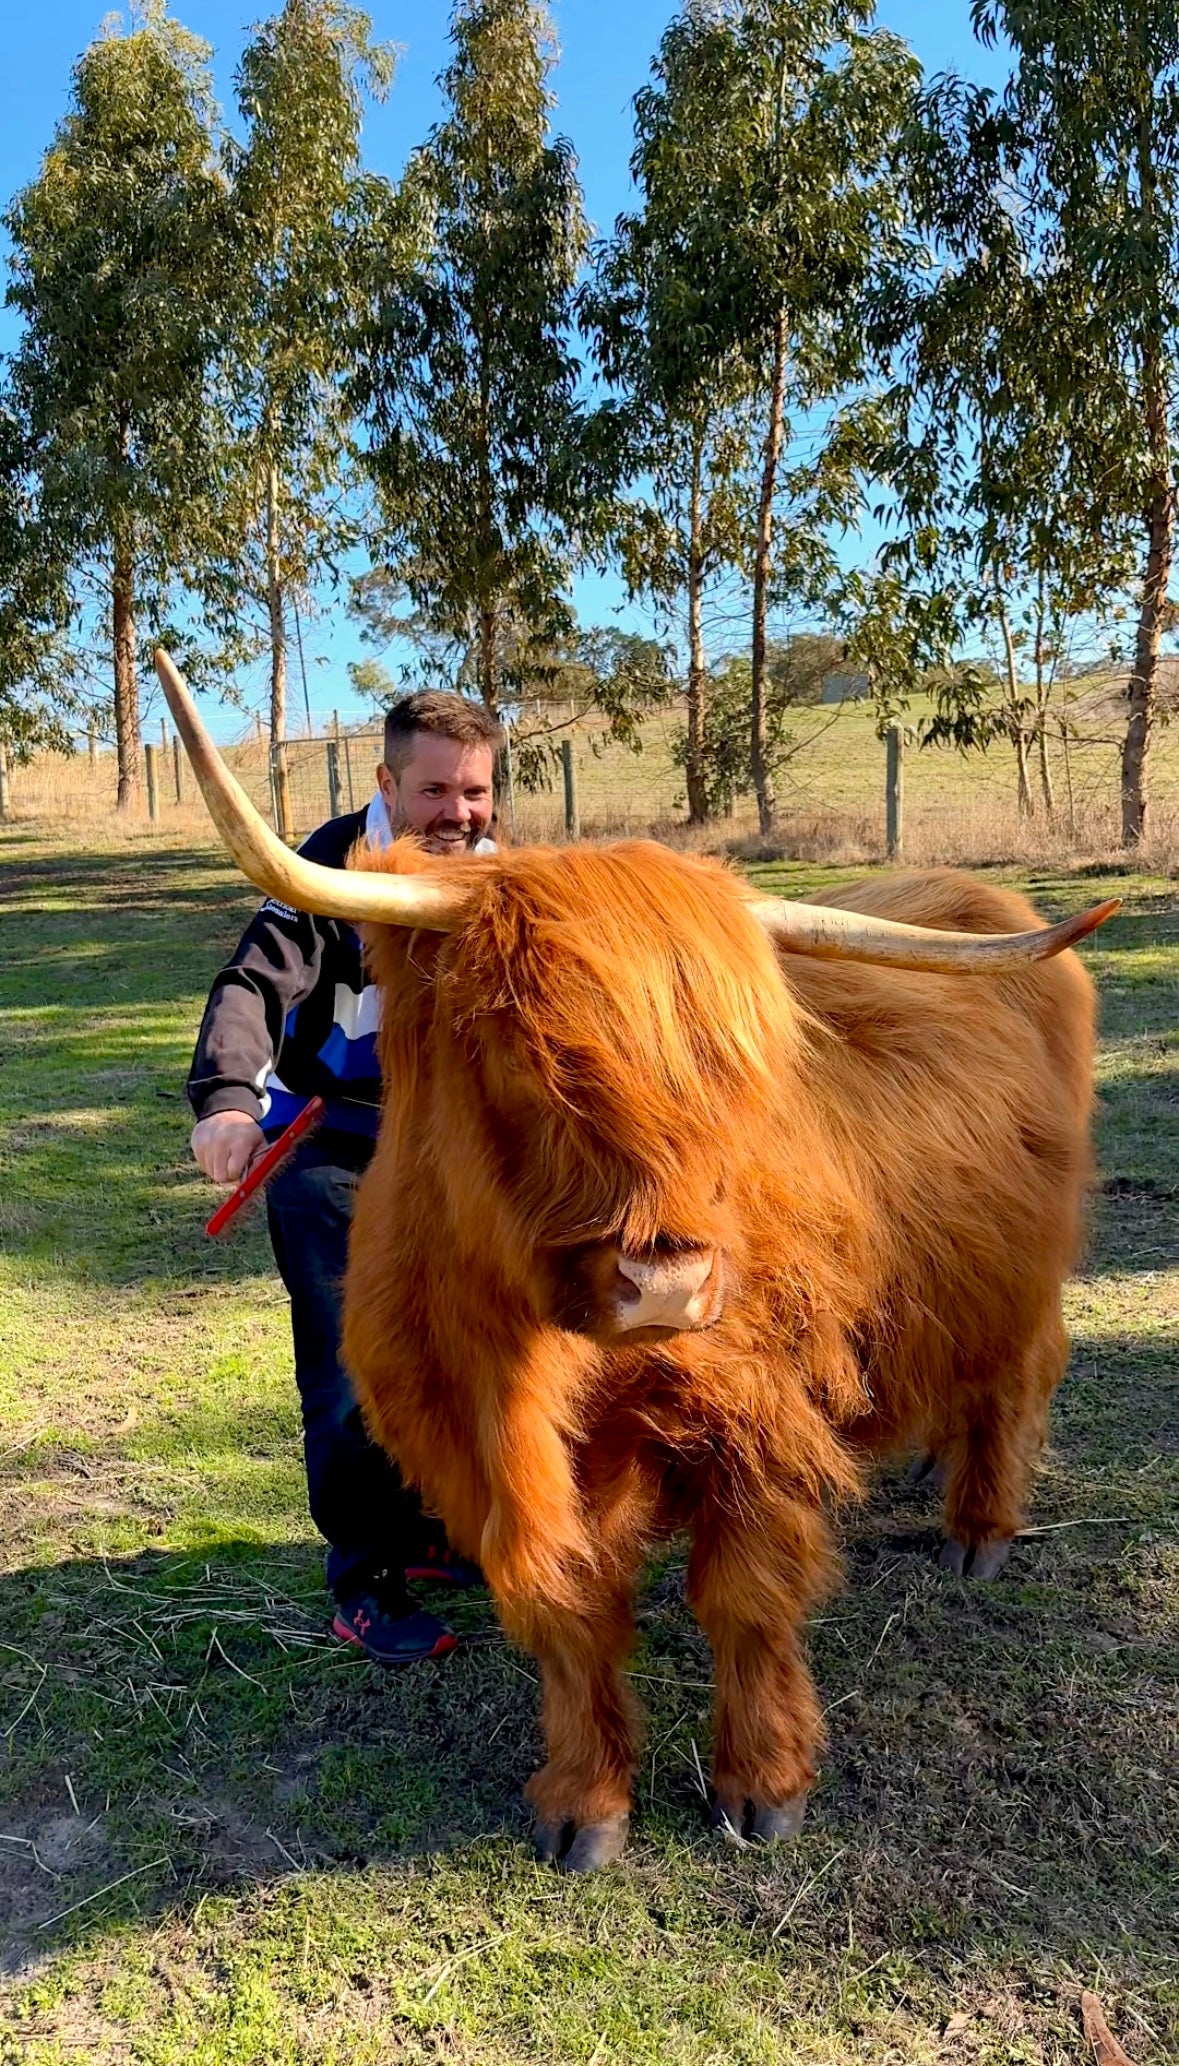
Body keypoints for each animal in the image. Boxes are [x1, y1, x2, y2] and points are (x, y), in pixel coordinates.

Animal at [157, 650, 1117, 1873]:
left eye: (739, 1068)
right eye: (515, 1047)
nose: (666, 1284)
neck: (533, 1358)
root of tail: (985, 900)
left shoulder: (756, 1410)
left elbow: (746, 1599)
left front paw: (762, 1786)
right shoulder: (479, 1442)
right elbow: (569, 1609)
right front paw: (584, 1803)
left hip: (1028, 1269)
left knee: (1023, 1369)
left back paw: (980, 1533)